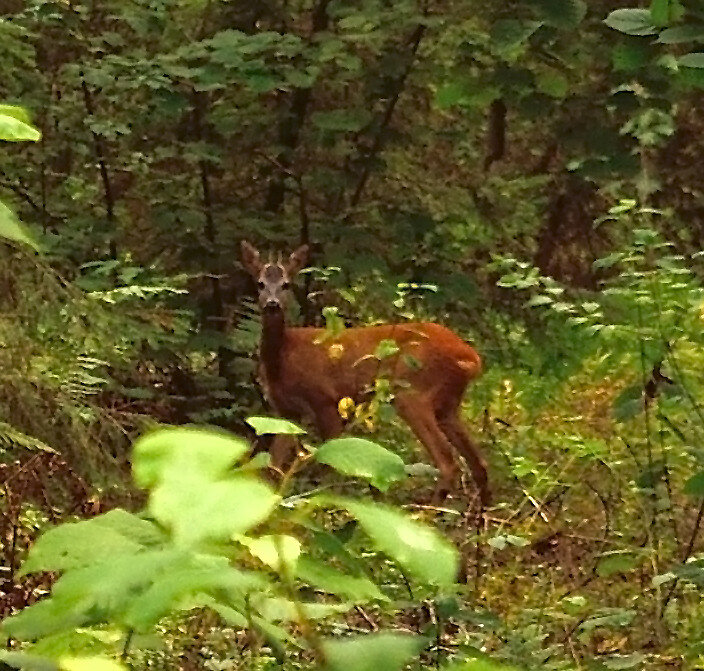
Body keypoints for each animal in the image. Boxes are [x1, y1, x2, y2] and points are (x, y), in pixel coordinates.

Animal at [242, 243, 490, 504]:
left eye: (286, 284)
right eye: (260, 283)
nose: (272, 303)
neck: (283, 357)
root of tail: (470, 356)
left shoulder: (326, 399)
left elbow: (333, 462)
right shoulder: (286, 411)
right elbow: (272, 467)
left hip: (413, 392)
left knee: (448, 461)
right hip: (448, 405)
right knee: (479, 463)